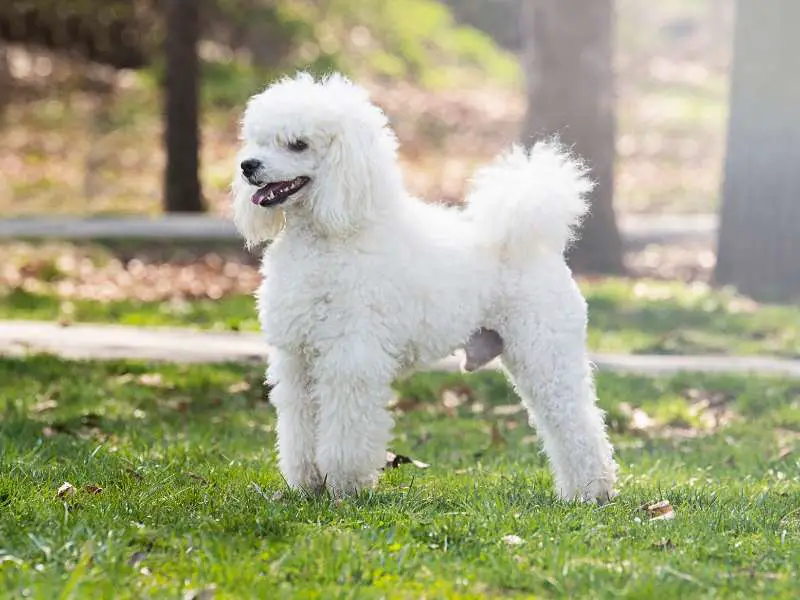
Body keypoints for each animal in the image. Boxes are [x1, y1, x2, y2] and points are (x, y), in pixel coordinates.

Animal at [231, 71, 620, 502]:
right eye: (258, 140)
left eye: (297, 144)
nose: (248, 165)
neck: (332, 235)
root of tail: (537, 242)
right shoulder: (297, 356)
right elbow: (299, 426)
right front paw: (308, 485)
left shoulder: (351, 357)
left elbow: (347, 429)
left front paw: (344, 487)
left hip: (544, 350)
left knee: (577, 423)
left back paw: (592, 492)